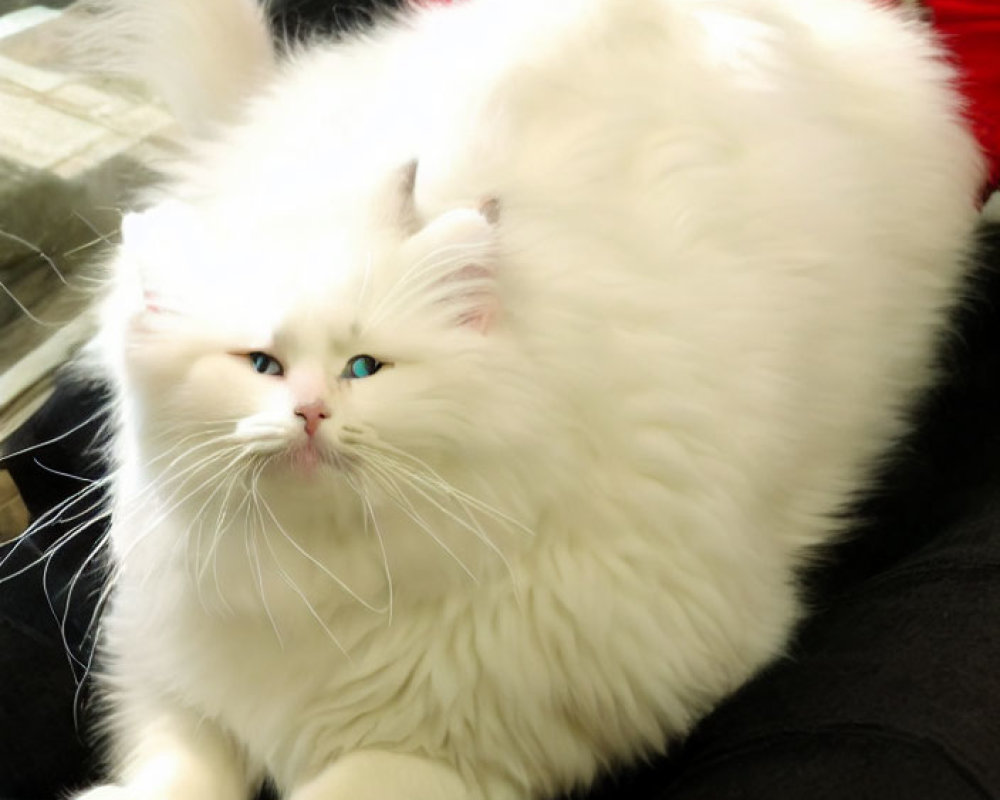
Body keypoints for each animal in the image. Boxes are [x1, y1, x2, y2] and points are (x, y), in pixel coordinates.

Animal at [74, 1, 980, 800]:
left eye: (365, 368)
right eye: (261, 363)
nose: (309, 413)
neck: (325, 587)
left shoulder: (463, 747)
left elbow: (341, 785)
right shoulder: (168, 684)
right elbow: (175, 771)